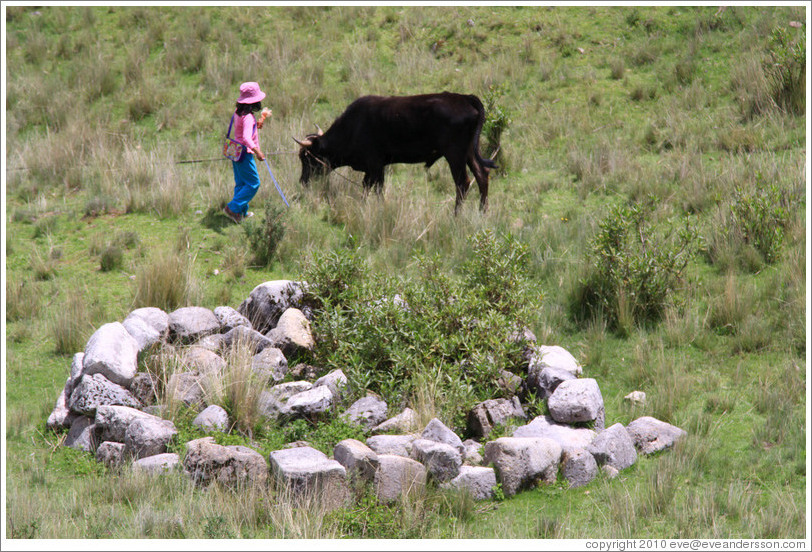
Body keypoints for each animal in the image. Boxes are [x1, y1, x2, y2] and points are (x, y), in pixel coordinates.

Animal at [292, 91, 494, 215]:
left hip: (455, 156)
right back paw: (482, 212)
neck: (353, 126)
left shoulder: (375, 165)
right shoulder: (374, 168)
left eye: (307, 157)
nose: (302, 181)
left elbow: (375, 188)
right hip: (469, 153)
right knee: (482, 175)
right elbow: (369, 187)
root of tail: (464, 98)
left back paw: (456, 215)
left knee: (463, 183)